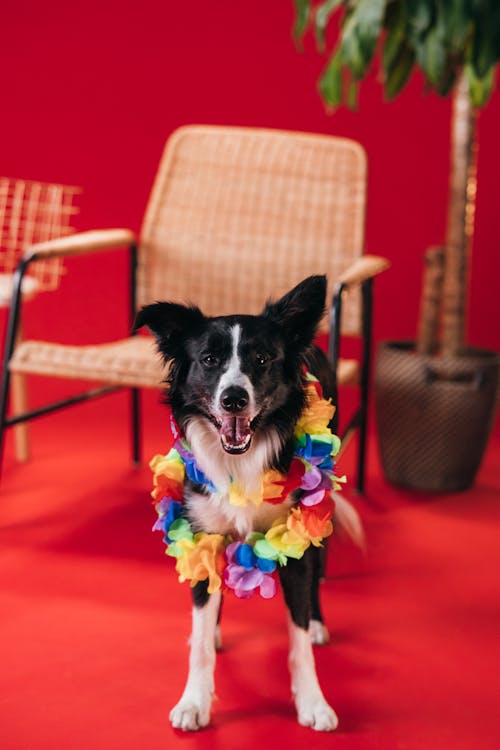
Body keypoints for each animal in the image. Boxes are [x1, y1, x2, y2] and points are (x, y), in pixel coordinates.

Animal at [138, 276, 364, 736]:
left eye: (261, 359)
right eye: (208, 359)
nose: (233, 399)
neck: (239, 460)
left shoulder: (296, 536)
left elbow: (297, 639)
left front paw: (313, 701)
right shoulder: (202, 532)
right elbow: (201, 639)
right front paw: (194, 700)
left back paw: (318, 622)